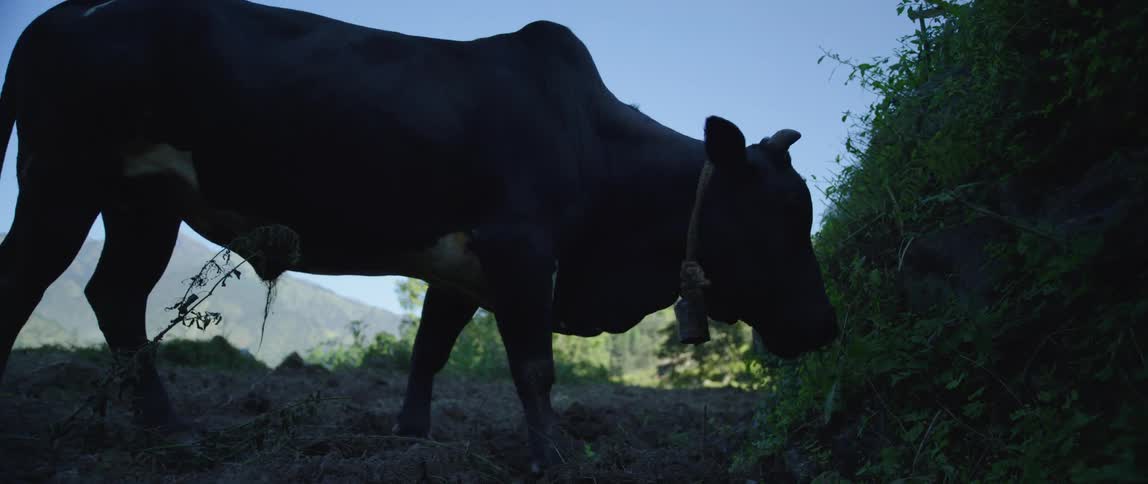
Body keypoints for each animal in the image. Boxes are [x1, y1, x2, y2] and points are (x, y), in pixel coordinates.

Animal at [0, 0, 839, 473]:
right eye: (784, 215)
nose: (830, 326)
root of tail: (61, 14)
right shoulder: (522, 247)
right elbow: (534, 366)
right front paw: (555, 455)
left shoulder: (460, 265)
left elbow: (429, 349)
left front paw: (409, 436)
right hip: (63, 178)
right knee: (25, 281)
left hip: (144, 201)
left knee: (116, 295)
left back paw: (169, 428)